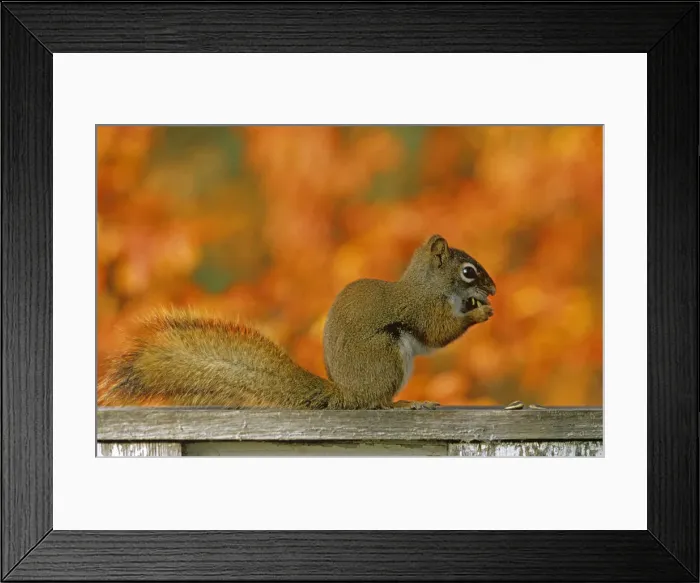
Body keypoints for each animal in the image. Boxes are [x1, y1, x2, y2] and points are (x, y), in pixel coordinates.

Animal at [98, 234, 496, 409]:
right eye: (468, 271)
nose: (493, 289)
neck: (428, 286)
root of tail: (347, 393)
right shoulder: (420, 309)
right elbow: (438, 332)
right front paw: (478, 312)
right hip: (386, 358)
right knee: (376, 404)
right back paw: (404, 404)